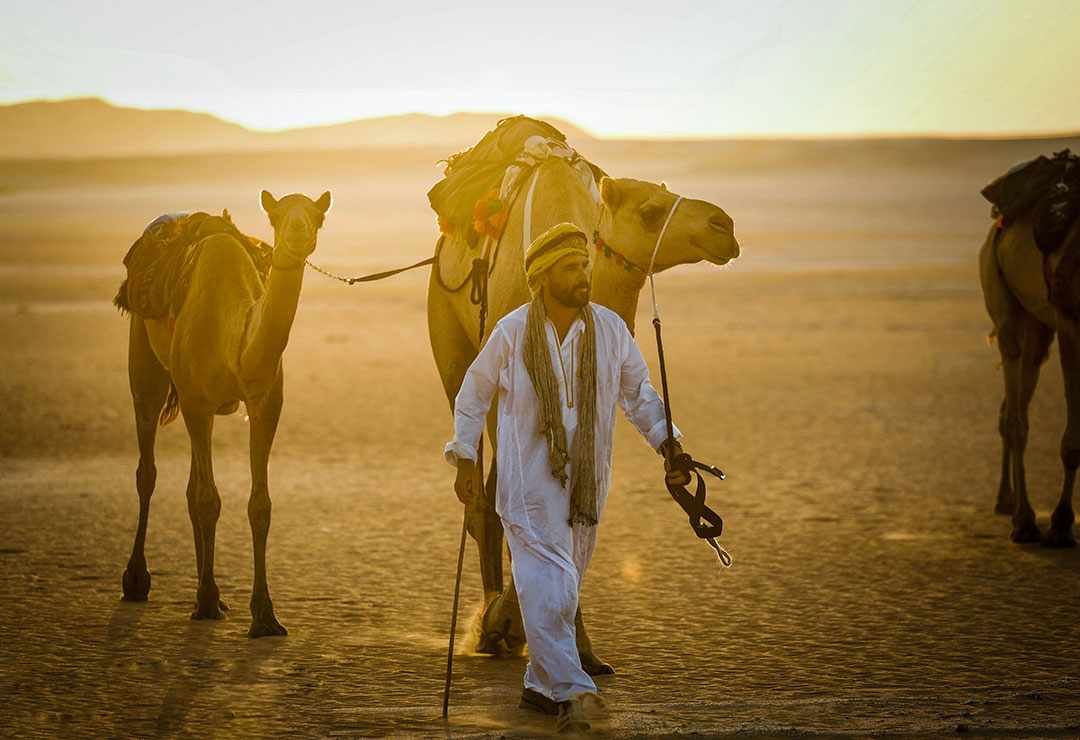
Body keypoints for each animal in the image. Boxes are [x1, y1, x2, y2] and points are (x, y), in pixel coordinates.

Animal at [122, 190, 332, 635]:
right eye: (275, 216)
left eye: (318, 215)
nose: (298, 232)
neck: (235, 344)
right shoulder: (197, 404)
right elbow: (208, 500)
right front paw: (204, 601)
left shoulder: (265, 403)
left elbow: (258, 506)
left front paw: (264, 615)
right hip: (146, 363)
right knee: (148, 469)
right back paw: (138, 580)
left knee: (189, 487)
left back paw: (213, 596)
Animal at [425, 158, 738, 674]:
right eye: (650, 211)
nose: (725, 226)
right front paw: (505, 624)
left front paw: (579, 650)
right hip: (449, 342)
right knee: (480, 492)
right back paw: (487, 622)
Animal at [980, 210, 1080, 544]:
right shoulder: (1070, 322)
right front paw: (1061, 523)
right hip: (1005, 308)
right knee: (1015, 420)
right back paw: (1023, 520)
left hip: (1038, 329)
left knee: (1010, 408)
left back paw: (1007, 501)